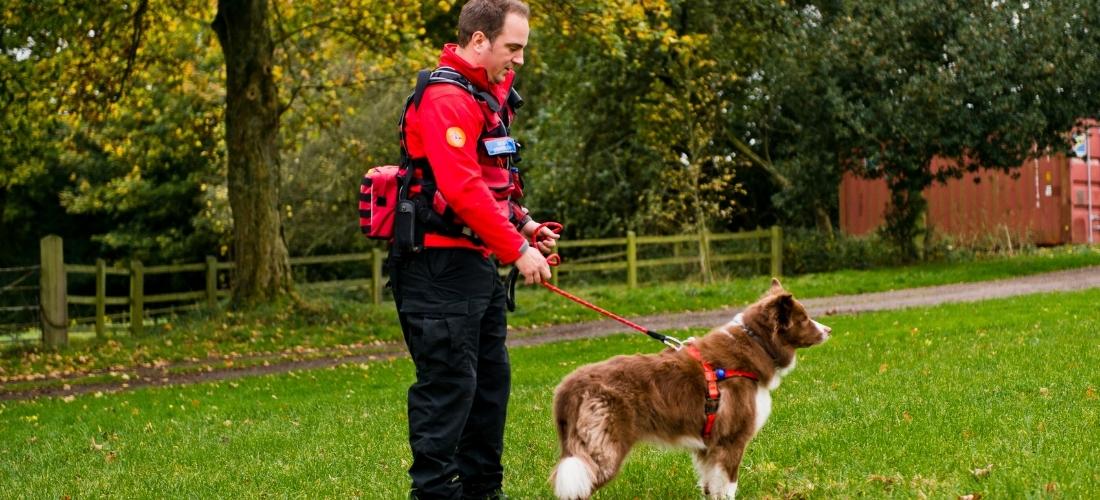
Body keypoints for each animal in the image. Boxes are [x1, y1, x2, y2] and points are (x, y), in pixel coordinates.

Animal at [545, 280, 827, 498]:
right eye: (804, 319)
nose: (829, 329)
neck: (756, 345)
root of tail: (569, 386)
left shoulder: (708, 447)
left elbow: (711, 487)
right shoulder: (732, 440)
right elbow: (729, 487)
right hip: (601, 453)